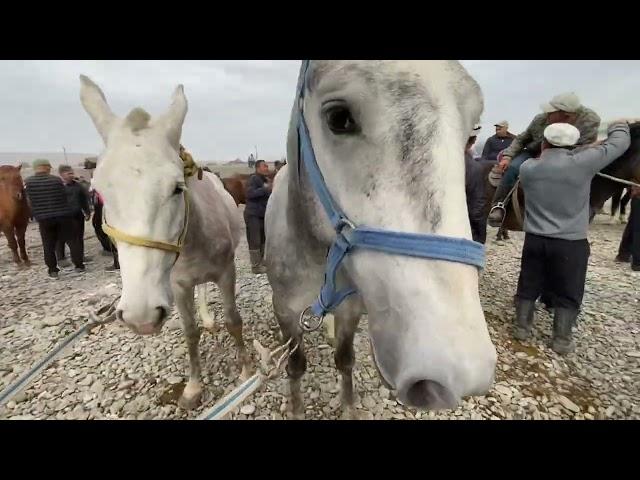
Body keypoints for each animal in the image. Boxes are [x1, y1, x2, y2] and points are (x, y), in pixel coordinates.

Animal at [264, 61, 496, 420]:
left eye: (472, 134)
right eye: (339, 118)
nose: (454, 371)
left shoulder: (350, 310)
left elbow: (345, 359)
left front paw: (348, 407)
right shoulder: (286, 311)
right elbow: (295, 365)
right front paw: (297, 409)